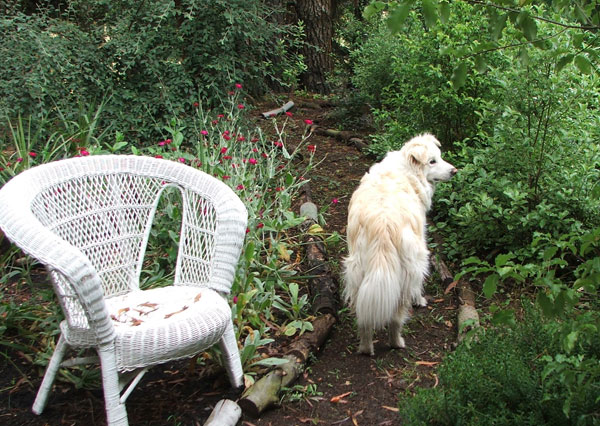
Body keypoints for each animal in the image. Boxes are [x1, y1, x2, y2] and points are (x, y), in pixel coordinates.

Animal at [342, 133, 454, 356]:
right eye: (432, 161)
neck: (407, 171)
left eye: (439, 156)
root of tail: (383, 225)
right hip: (410, 269)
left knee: (364, 318)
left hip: (357, 272)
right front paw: (420, 300)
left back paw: (365, 348)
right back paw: (397, 342)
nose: (454, 171)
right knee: (396, 317)